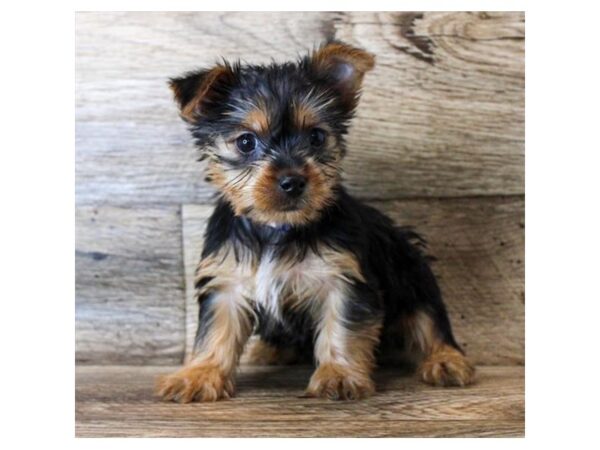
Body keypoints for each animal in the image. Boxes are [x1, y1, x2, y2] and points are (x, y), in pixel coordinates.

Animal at [156, 40, 474, 402]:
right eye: (246, 142)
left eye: (317, 137)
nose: (293, 181)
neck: (277, 228)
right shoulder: (227, 281)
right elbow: (216, 329)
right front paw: (199, 374)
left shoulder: (343, 277)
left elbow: (343, 327)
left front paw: (339, 374)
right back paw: (271, 350)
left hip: (412, 274)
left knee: (428, 319)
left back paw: (446, 360)